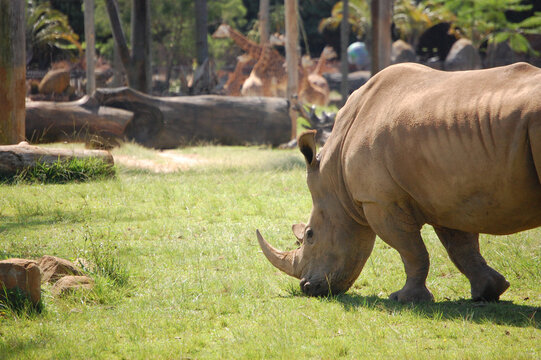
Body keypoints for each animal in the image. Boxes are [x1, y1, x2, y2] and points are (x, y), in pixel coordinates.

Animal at [256, 62, 540, 304]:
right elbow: (461, 248)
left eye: (310, 235)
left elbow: (411, 250)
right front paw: (488, 292)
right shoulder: (449, 195)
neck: (335, 177)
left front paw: (404, 299)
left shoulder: (380, 200)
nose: (306, 287)